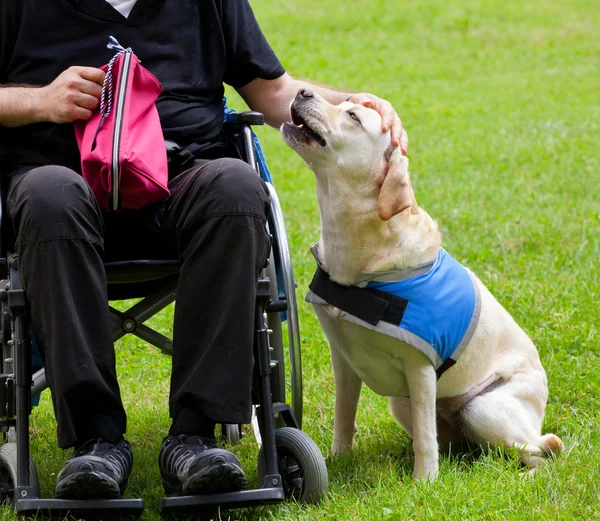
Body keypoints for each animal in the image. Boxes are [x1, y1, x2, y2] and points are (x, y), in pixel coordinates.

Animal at [282, 87, 564, 478]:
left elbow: (426, 442)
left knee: (541, 449)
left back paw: (530, 472)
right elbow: (344, 417)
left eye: (352, 116)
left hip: (482, 408)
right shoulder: (344, 361)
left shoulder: (419, 368)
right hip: (403, 405)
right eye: (344, 104)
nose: (302, 90)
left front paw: (424, 481)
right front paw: (337, 461)